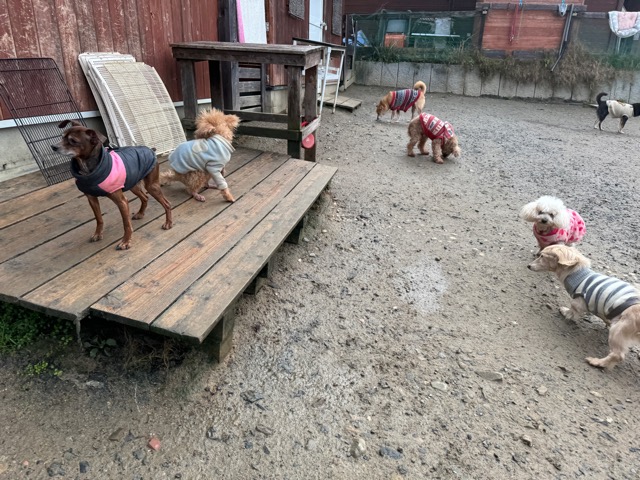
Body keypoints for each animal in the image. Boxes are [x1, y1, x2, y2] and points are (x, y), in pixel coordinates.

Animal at [51, 120, 172, 250]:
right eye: (62, 137)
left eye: (73, 141)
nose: (53, 146)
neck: (88, 170)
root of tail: (151, 149)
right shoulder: (91, 198)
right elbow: (99, 218)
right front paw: (98, 234)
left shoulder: (122, 201)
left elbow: (126, 224)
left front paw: (126, 241)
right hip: (133, 185)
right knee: (145, 197)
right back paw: (140, 213)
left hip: (151, 186)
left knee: (167, 204)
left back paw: (168, 223)